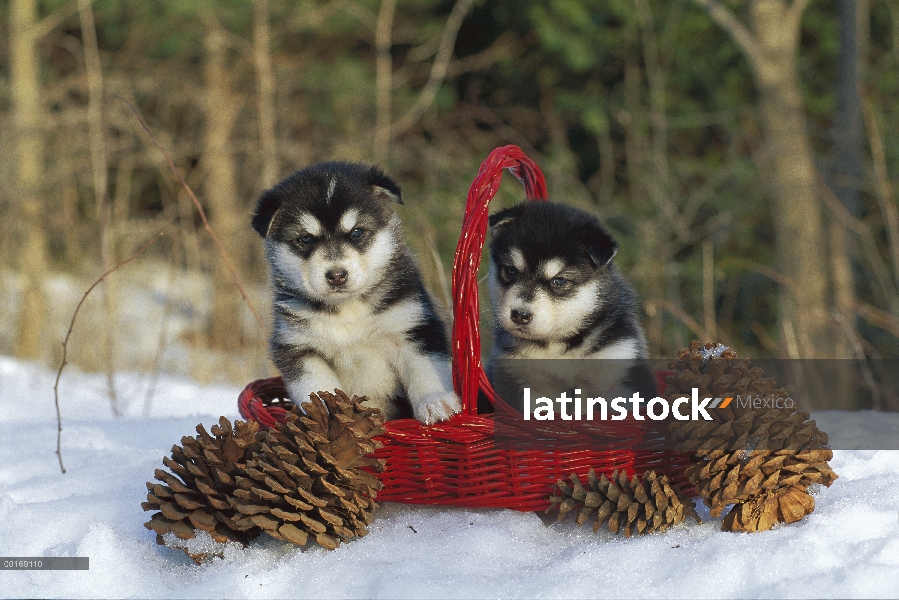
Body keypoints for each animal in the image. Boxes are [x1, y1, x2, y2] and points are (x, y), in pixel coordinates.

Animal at [255, 159, 460, 422]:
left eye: (357, 232)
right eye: (306, 239)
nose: (336, 275)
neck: (347, 311)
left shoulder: (415, 326)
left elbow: (425, 370)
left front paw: (436, 403)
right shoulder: (298, 347)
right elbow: (318, 385)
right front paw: (326, 415)